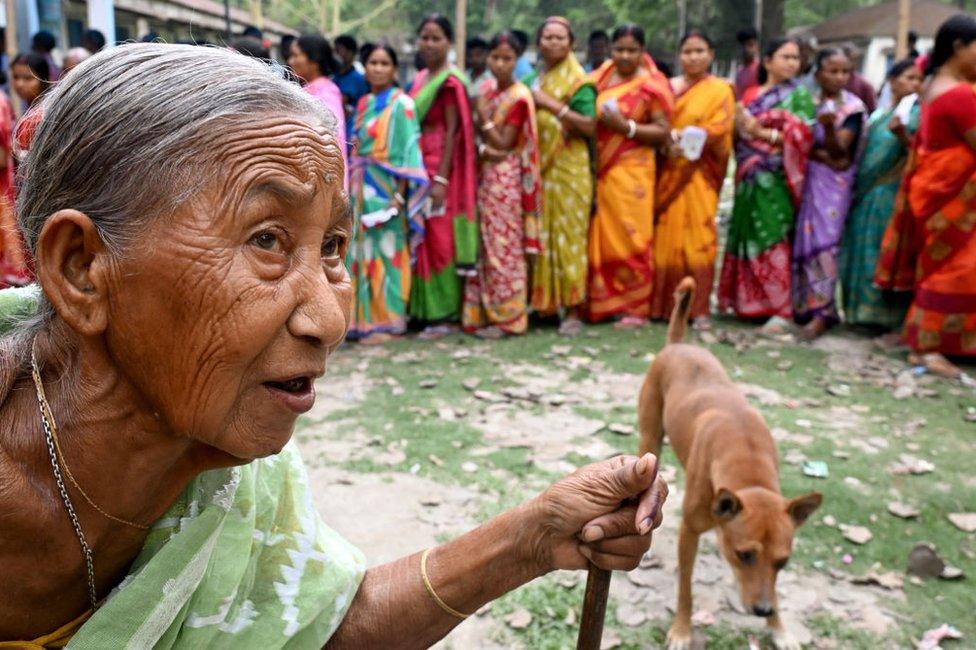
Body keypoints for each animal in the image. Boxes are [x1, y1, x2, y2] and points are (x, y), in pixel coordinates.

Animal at [636, 274, 820, 648]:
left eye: (783, 562)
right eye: (744, 555)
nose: (763, 611)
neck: (747, 465)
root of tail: (678, 346)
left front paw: (779, 628)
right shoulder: (690, 531)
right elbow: (686, 590)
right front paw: (682, 629)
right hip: (650, 439)